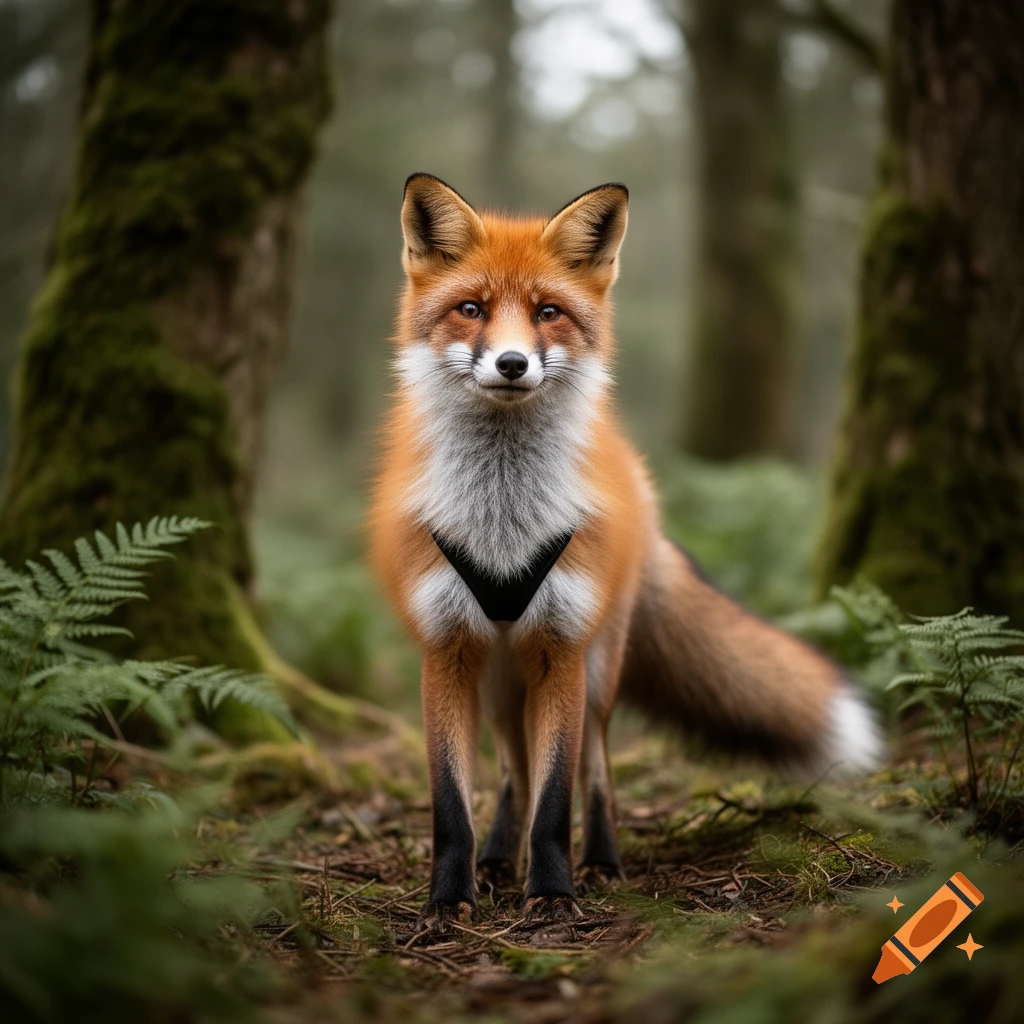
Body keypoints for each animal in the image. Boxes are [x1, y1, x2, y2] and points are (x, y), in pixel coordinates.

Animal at [368, 173, 882, 933]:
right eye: (471, 309)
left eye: (548, 312)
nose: (513, 363)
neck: (502, 523)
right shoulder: (446, 652)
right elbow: (452, 806)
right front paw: (449, 899)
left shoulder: (561, 647)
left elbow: (557, 799)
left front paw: (554, 894)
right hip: (499, 681)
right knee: (513, 769)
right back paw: (497, 860)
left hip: (595, 665)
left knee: (595, 769)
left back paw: (601, 864)